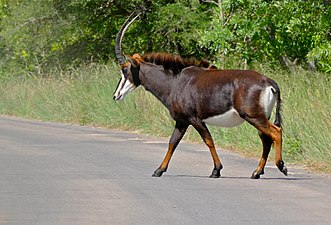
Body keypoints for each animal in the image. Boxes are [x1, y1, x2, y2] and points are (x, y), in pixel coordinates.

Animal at [114, 12, 288, 178]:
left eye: (125, 69)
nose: (116, 96)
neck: (175, 81)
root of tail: (269, 82)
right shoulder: (182, 121)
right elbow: (172, 142)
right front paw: (159, 170)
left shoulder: (194, 119)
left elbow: (208, 141)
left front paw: (216, 170)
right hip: (260, 116)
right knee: (266, 139)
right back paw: (256, 172)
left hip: (253, 116)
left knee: (275, 132)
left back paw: (281, 166)